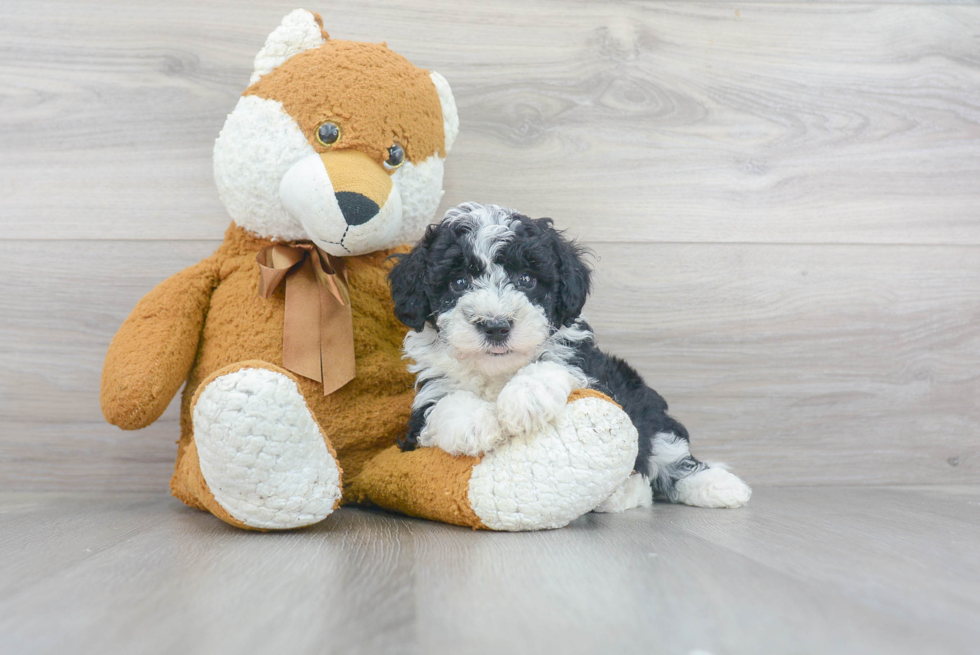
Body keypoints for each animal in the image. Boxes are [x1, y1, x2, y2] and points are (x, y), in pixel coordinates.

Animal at [384, 202, 752, 510]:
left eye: (526, 279)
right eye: (458, 282)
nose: (496, 326)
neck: (497, 371)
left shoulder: (590, 372)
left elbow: (550, 364)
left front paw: (524, 400)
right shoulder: (424, 406)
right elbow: (444, 403)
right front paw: (475, 423)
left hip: (644, 405)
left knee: (668, 453)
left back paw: (718, 486)